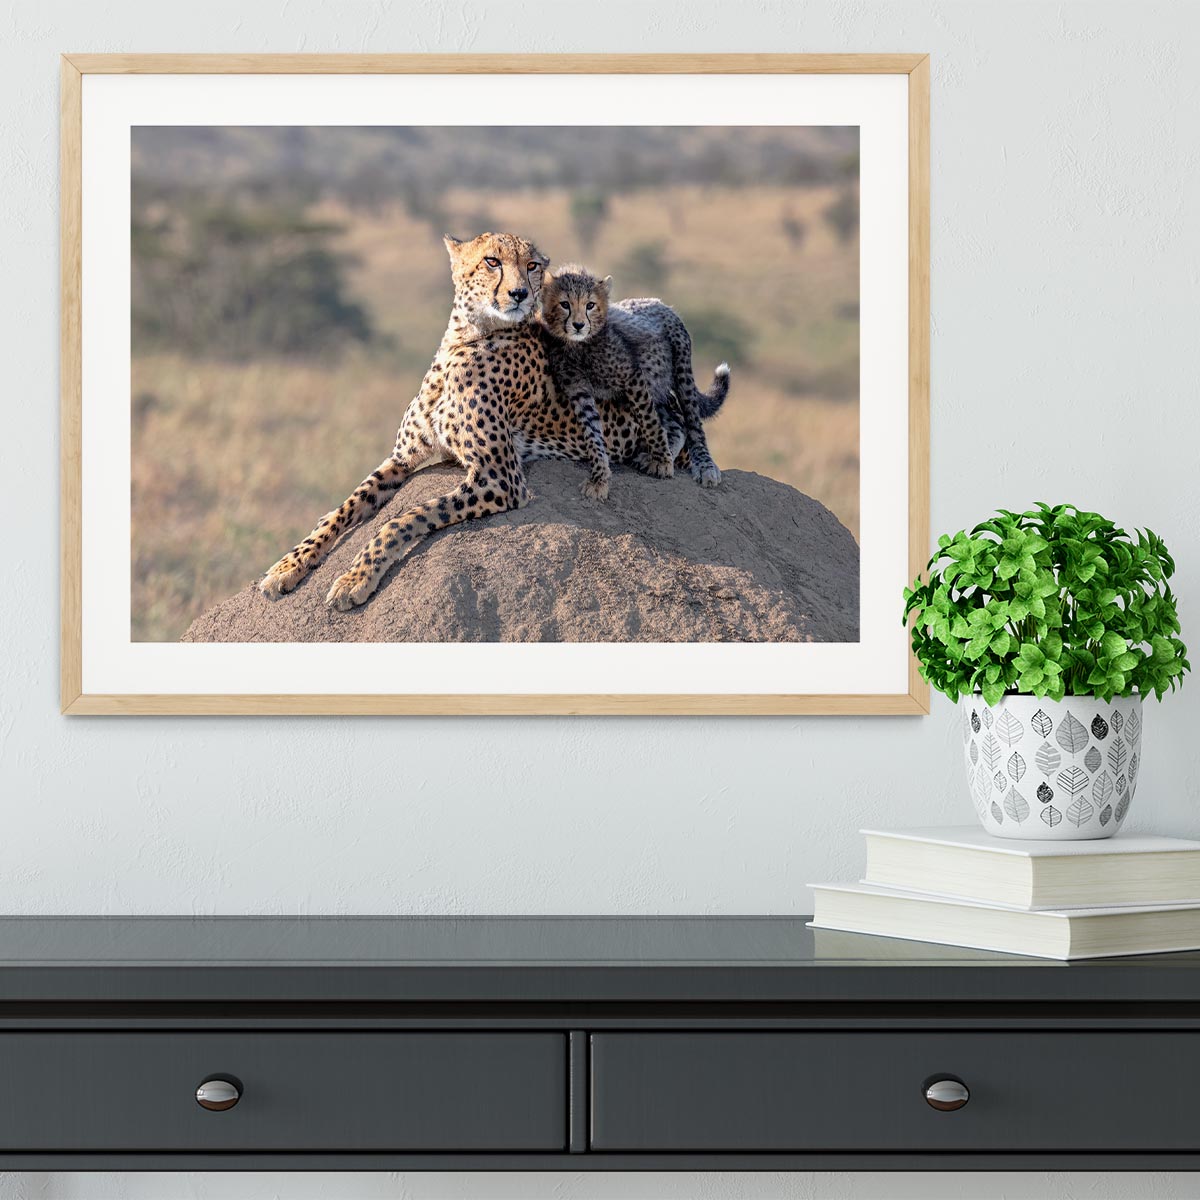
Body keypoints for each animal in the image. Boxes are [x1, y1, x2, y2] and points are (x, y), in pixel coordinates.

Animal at [258, 232, 662, 611]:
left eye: (532, 265)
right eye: (492, 261)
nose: (519, 294)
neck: (465, 338)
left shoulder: (500, 479)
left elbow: (406, 517)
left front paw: (355, 578)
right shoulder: (402, 457)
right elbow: (347, 505)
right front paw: (289, 565)